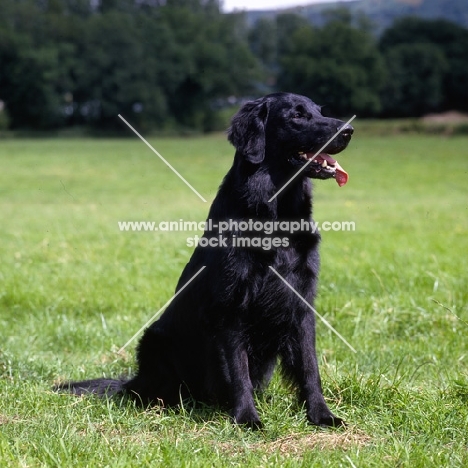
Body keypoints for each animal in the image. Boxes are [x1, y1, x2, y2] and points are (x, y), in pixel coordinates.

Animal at [57, 93, 352, 430]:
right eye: (297, 115)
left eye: (319, 111)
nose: (348, 130)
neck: (277, 215)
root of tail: (131, 381)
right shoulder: (230, 306)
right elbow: (238, 370)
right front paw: (247, 419)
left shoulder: (301, 301)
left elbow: (309, 366)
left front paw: (321, 415)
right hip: (154, 341)